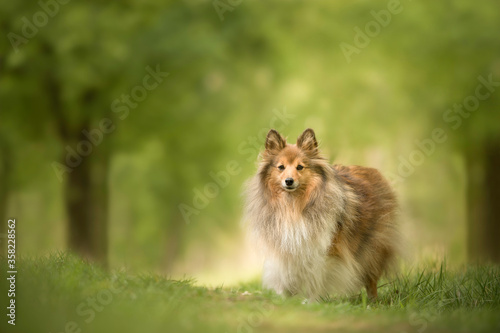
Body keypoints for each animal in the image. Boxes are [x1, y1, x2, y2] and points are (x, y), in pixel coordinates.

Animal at [242, 128, 398, 300]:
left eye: (300, 167)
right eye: (281, 167)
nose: (289, 181)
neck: (293, 205)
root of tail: (373, 171)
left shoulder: (325, 249)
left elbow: (316, 276)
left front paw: (312, 300)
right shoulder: (287, 247)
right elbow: (287, 273)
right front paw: (287, 299)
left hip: (371, 248)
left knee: (371, 278)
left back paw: (372, 301)